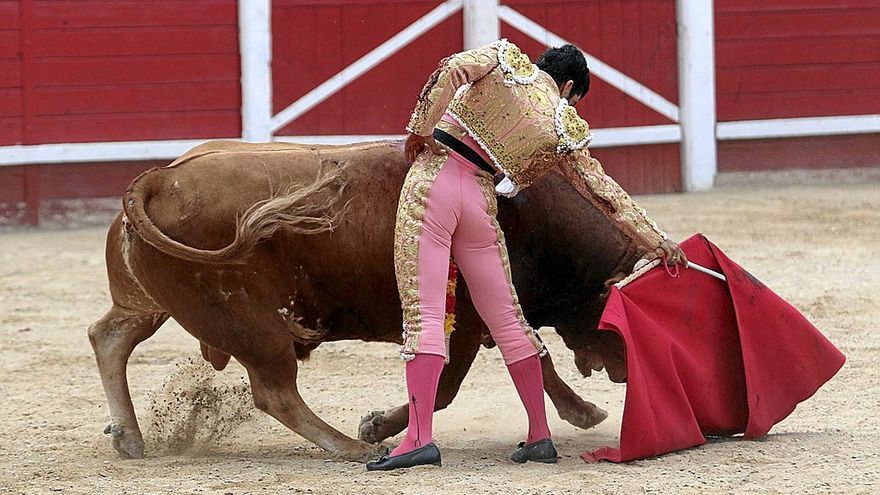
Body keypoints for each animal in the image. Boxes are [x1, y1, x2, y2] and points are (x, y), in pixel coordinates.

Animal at [89, 141, 640, 464]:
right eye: (615, 316)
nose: (624, 372)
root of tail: (159, 178)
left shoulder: (493, 314)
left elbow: (534, 359)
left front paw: (584, 412)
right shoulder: (467, 320)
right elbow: (450, 385)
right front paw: (376, 427)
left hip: (148, 304)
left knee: (110, 336)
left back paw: (129, 437)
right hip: (253, 326)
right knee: (275, 393)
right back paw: (351, 446)